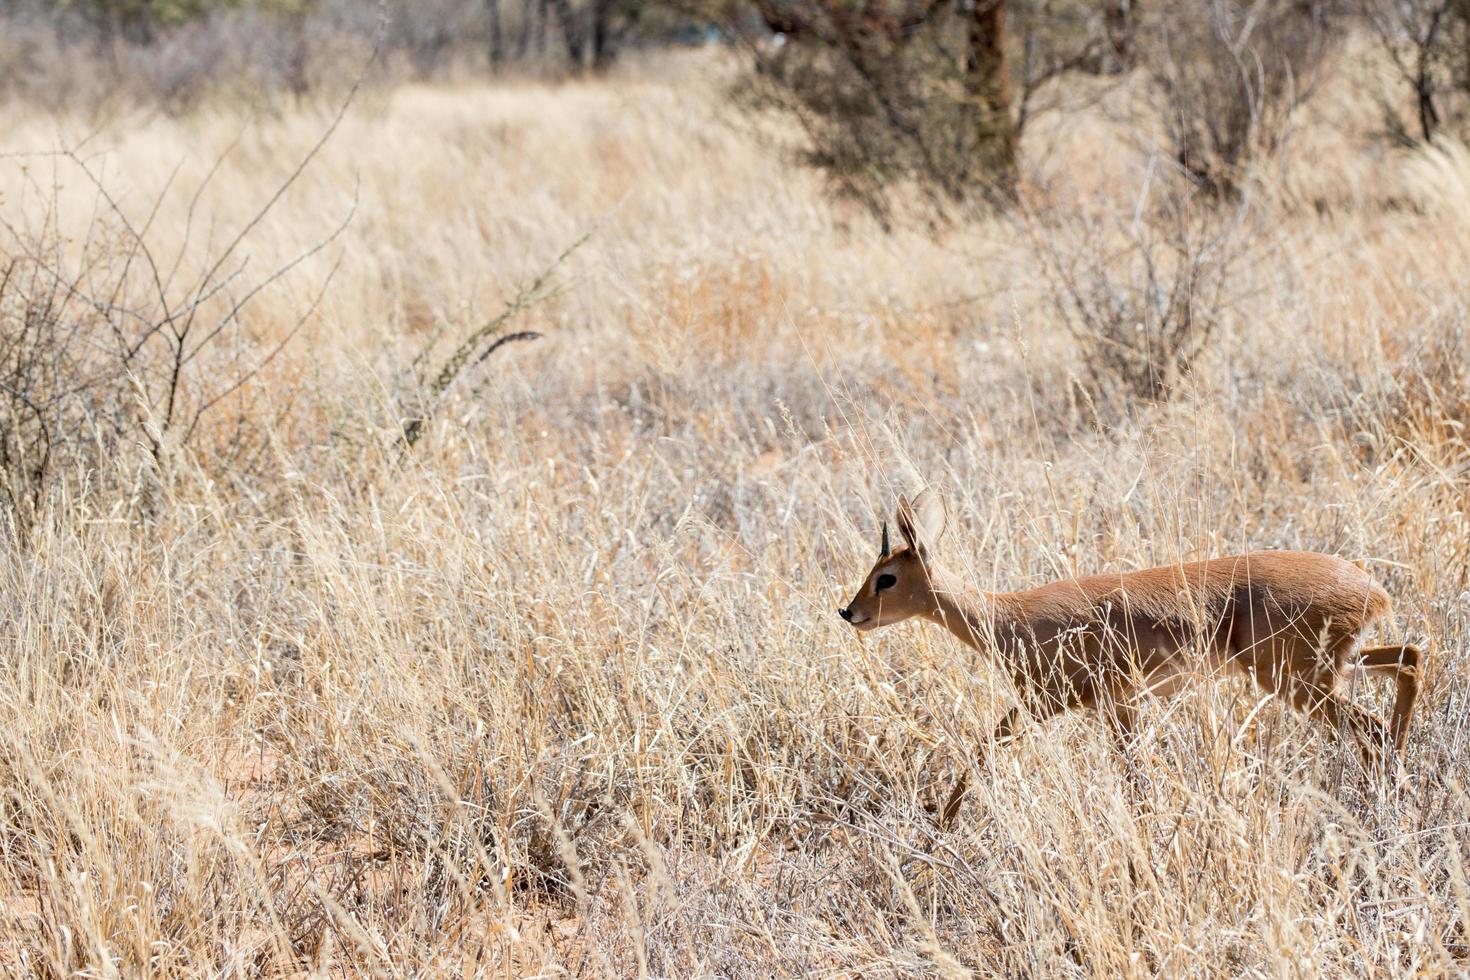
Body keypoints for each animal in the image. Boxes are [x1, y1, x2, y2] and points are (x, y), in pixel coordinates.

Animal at [840, 487, 1422, 764]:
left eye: (886, 577)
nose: (850, 612)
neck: (1004, 617)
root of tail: (1372, 590)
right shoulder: (1119, 706)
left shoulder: (1049, 702)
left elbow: (981, 752)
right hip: (1334, 666)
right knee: (1411, 660)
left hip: (1297, 680)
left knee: (1372, 725)